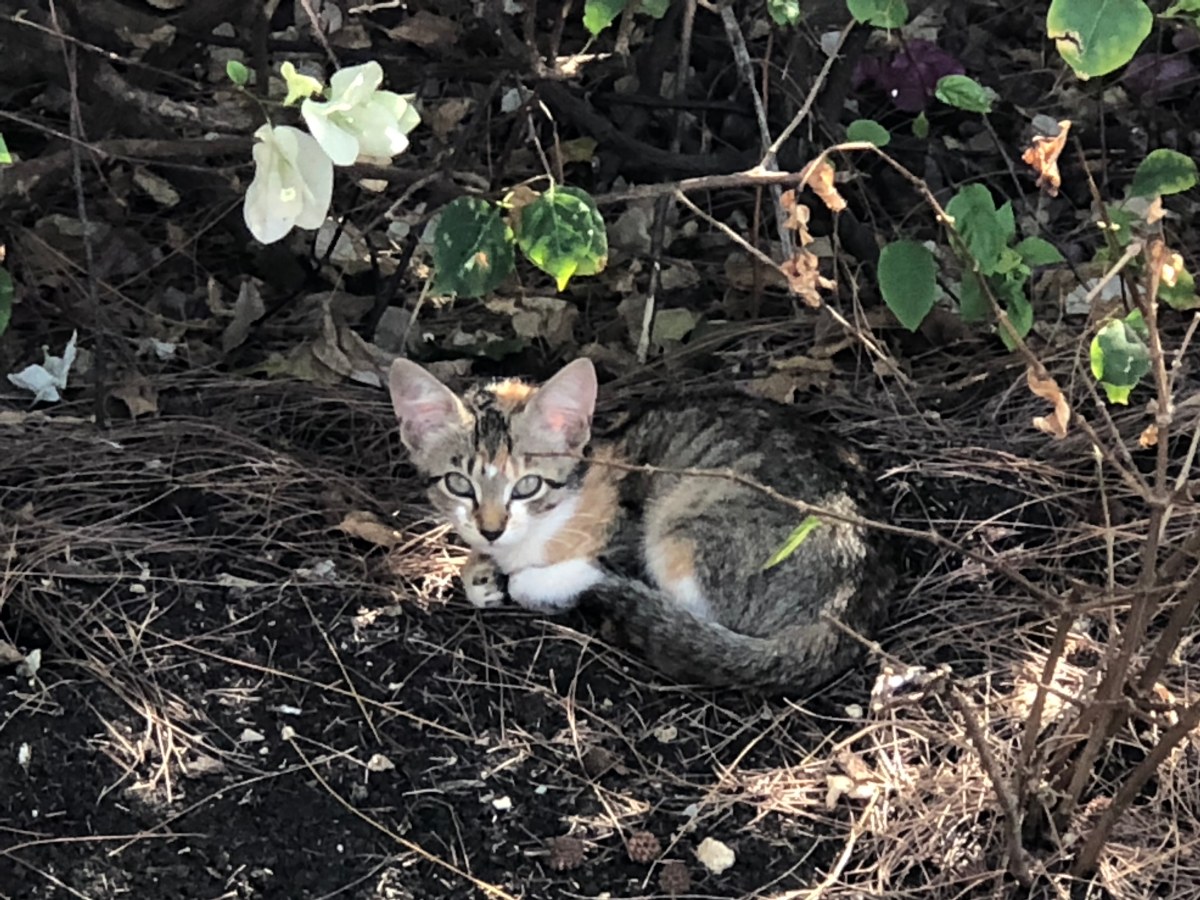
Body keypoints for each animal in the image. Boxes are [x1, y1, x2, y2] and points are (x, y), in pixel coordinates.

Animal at [387, 356, 893, 693]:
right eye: (459, 483)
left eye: (527, 485)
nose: (491, 529)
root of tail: (851, 598)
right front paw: (480, 574)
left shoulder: (627, 533)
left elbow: (552, 574)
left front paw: (522, 580)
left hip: (688, 524)